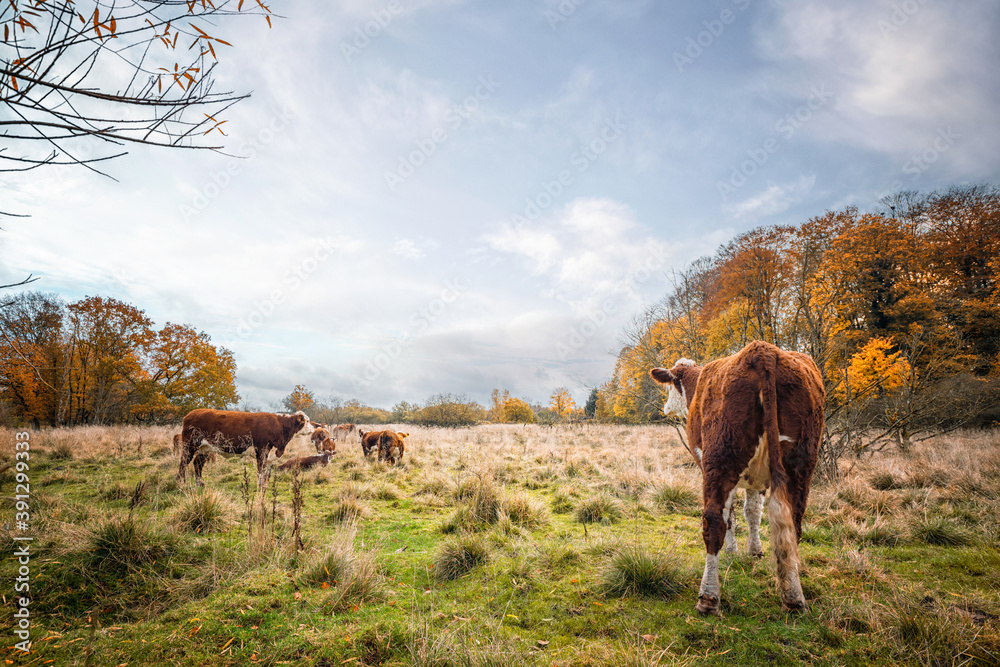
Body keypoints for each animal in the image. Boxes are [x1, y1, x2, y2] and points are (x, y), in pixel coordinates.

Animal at [176, 409, 314, 487]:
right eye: (307, 421)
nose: (315, 427)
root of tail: (190, 414)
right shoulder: (262, 449)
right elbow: (261, 468)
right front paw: (261, 485)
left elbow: (267, 471)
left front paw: (265, 483)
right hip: (189, 445)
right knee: (183, 462)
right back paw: (180, 483)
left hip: (204, 448)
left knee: (197, 463)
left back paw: (200, 483)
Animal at [650, 340, 824, 615]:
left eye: (672, 386)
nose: (666, 408)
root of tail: (762, 351)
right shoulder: (757, 481)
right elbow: (753, 512)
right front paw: (755, 551)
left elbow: (730, 515)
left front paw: (732, 550)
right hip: (801, 463)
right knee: (792, 524)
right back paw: (793, 597)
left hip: (721, 459)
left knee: (713, 522)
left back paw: (708, 597)